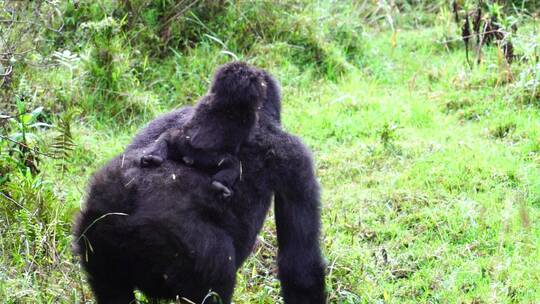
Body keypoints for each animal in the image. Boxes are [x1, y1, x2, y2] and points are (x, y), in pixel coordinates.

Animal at [140, 63, 264, 198]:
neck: (228, 99)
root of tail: (188, 155)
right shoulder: (250, 117)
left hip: (179, 141)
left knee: (166, 137)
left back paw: (153, 157)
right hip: (205, 157)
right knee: (232, 164)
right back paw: (220, 184)